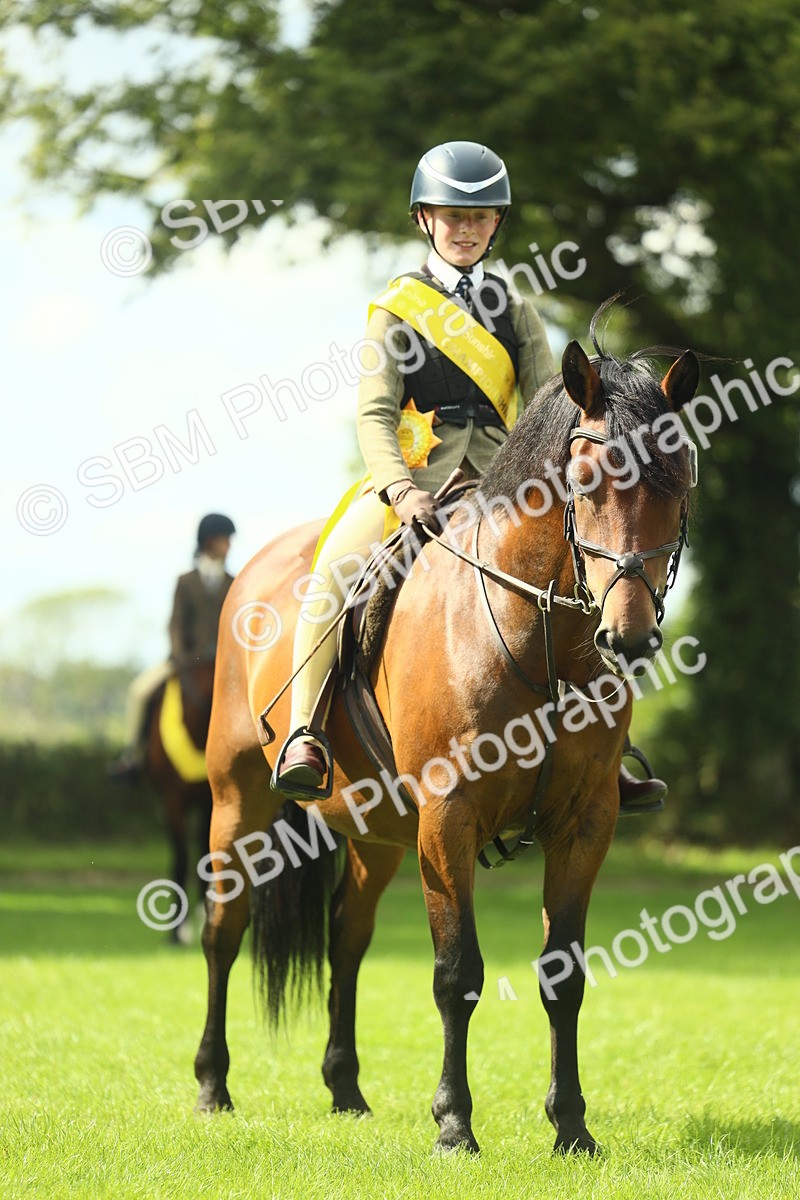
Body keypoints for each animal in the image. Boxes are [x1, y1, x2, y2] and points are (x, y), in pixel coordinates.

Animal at [193, 307, 699, 1154]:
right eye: (586, 480)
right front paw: (455, 1124)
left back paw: (346, 1089)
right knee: (223, 932)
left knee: (346, 938)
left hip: (374, 832)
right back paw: (211, 1085)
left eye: (681, 479)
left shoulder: (585, 822)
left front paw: (571, 1126)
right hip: (239, 805)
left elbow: (564, 974)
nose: (628, 637)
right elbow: (457, 973)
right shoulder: (449, 817)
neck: (536, 634)